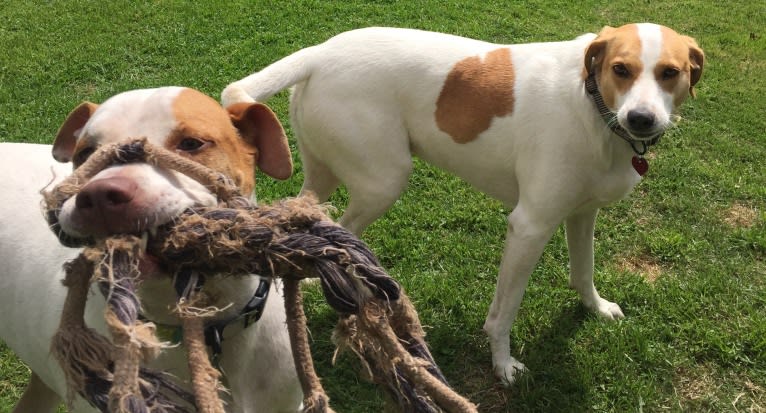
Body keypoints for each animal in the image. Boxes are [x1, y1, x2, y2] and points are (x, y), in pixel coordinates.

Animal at [224, 22, 708, 384]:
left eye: (670, 72)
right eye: (621, 69)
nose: (641, 119)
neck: (593, 105)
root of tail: (320, 52)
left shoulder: (581, 213)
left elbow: (583, 271)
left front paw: (596, 308)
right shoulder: (529, 226)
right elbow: (504, 312)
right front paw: (502, 364)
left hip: (324, 174)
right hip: (384, 180)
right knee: (346, 232)